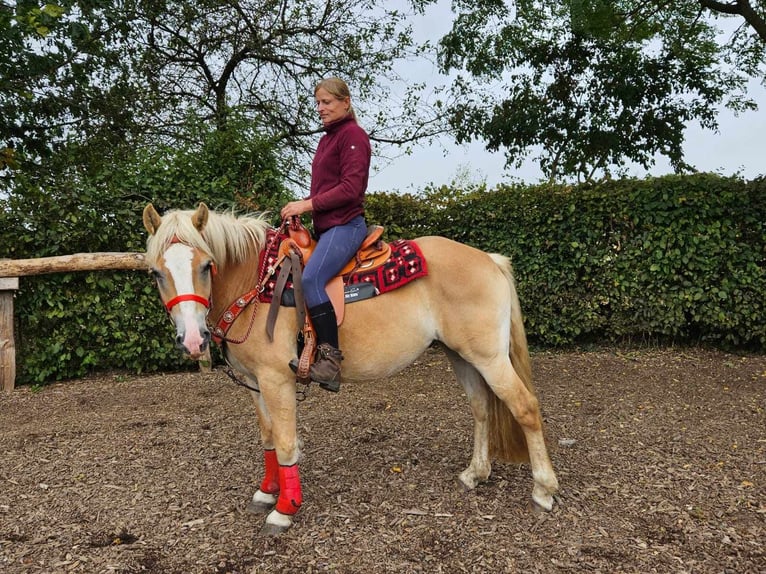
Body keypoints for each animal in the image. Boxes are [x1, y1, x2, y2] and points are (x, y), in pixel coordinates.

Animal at [142, 202, 560, 536]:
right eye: (156, 273)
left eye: (206, 266)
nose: (192, 340)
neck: (258, 283)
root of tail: (489, 259)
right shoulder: (254, 382)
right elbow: (268, 438)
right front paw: (266, 492)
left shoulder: (277, 380)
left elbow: (287, 443)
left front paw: (284, 510)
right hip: (462, 356)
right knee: (481, 408)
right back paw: (476, 473)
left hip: (489, 358)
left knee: (525, 408)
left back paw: (544, 490)